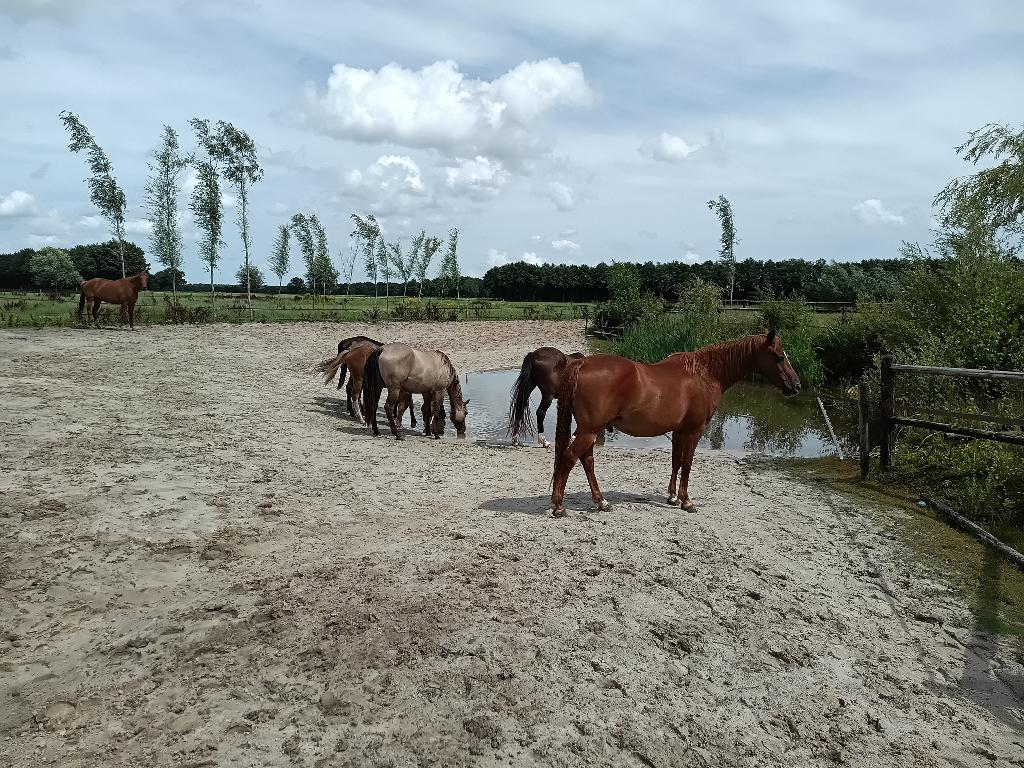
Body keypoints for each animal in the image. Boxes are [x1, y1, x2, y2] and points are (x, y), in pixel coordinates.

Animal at [549, 331, 801, 518]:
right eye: (780, 356)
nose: (796, 385)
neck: (705, 374)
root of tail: (583, 363)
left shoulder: (679, 431)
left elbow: (676, 461)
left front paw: (671, 496)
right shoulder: (694, 431)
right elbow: (687, 463)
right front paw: (686, 501)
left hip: (588, 431)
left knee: (586, 461)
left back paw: (601, 502)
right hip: (589, 431)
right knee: (569, 459)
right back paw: (559, 506)